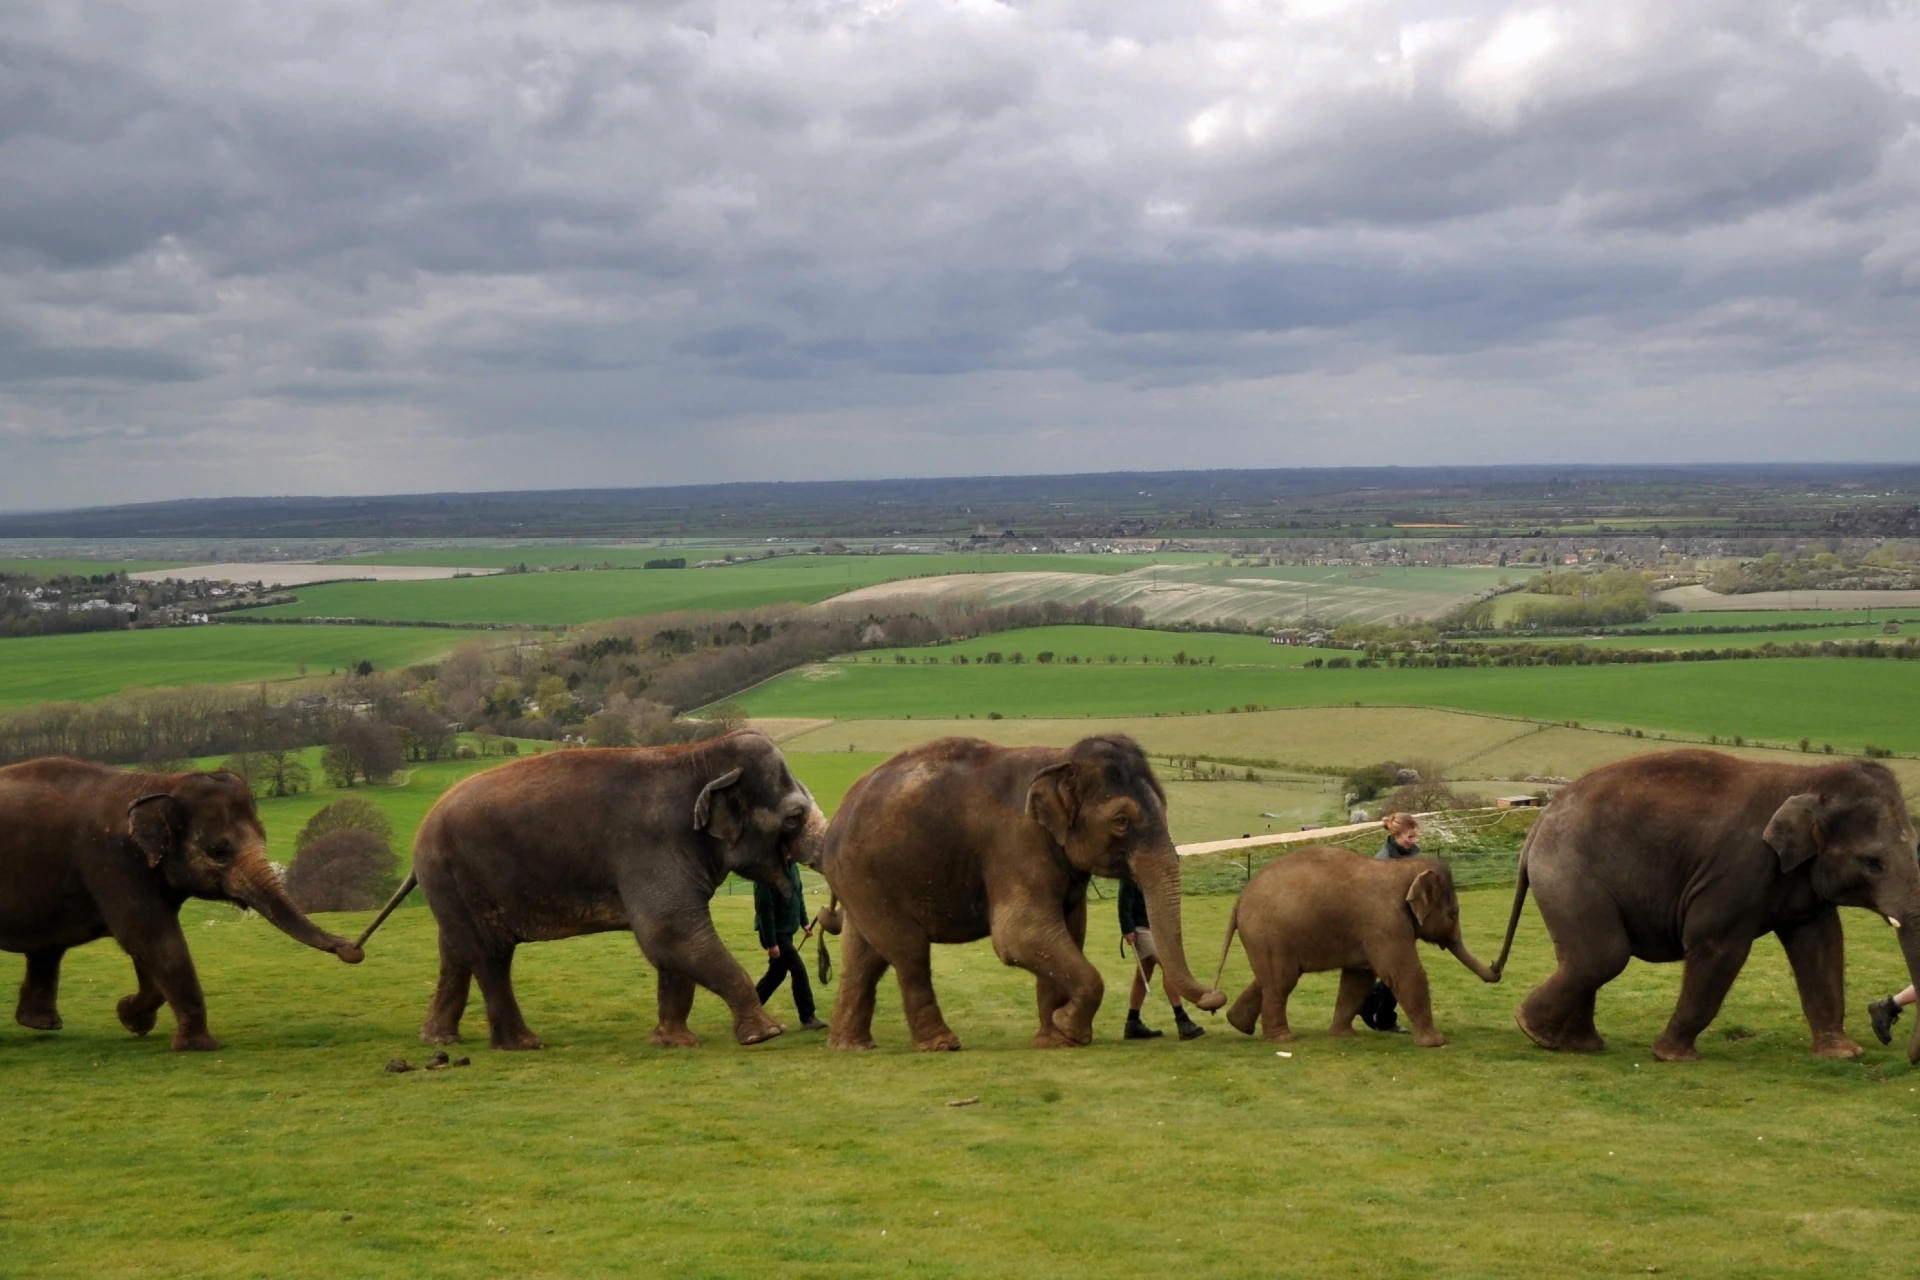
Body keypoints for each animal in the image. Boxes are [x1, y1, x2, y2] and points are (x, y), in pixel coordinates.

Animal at [0, 757, 365, 1051]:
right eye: (218, 851)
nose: (353, 949)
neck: (159, 784)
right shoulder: (112, 864)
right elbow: (152, 939)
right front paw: (198, 1046)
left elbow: (149, 949)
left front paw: (131, 1017)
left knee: (47, 949)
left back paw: (40, 1023)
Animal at [357, 730, 826, 1051]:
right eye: (793, 815)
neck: (697, 754)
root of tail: (421, 834)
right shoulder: (652, 849)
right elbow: (668, 933)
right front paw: (767, 1033)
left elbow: (673, 945)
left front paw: (674, 1042)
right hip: (456, 874)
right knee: (491, 955)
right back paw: (523, 1044)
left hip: (451, 885)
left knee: (455, 954)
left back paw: (439, 1041)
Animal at [820, 735, 1227, 1052]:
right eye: (1121, 820)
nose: (1216, 998)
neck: (1060, 759)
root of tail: (837, 813)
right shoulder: (1017, 844)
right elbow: (1020, 934)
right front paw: (1069, 1028)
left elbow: (1067, 933)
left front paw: (1055, 1039)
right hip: (866, 877)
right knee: (909, 952)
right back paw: (941, 1044)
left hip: (859, 881)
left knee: (864, 956)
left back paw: (851, 1046)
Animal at [1212, 845, 1499, 1047]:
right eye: (1454, 913)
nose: (1496, 968)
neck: (1401, 868)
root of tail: (1238, 901)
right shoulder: (1386, 922)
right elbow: (1404, 972)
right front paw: (1437, 1043)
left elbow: (1359, 977)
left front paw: (1343, 1035)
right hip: (1267, 934)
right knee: (1281, 982)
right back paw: (1283, 1040)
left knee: (1270, 979)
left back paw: (1238, 1023)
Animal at [1491, 750, 1920, 1063]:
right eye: (1873, 862)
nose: (1904, 1053)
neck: (1806, 777)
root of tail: (1539, 822)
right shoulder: (1736, 869)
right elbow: (1717, 948)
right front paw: (1673, 1057)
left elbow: (1823, 946)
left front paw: (1842, 1054)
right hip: (1569, 874)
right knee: (1602, 956)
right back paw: (1536, 1033)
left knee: (1585, 958)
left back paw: (1577, 1045)